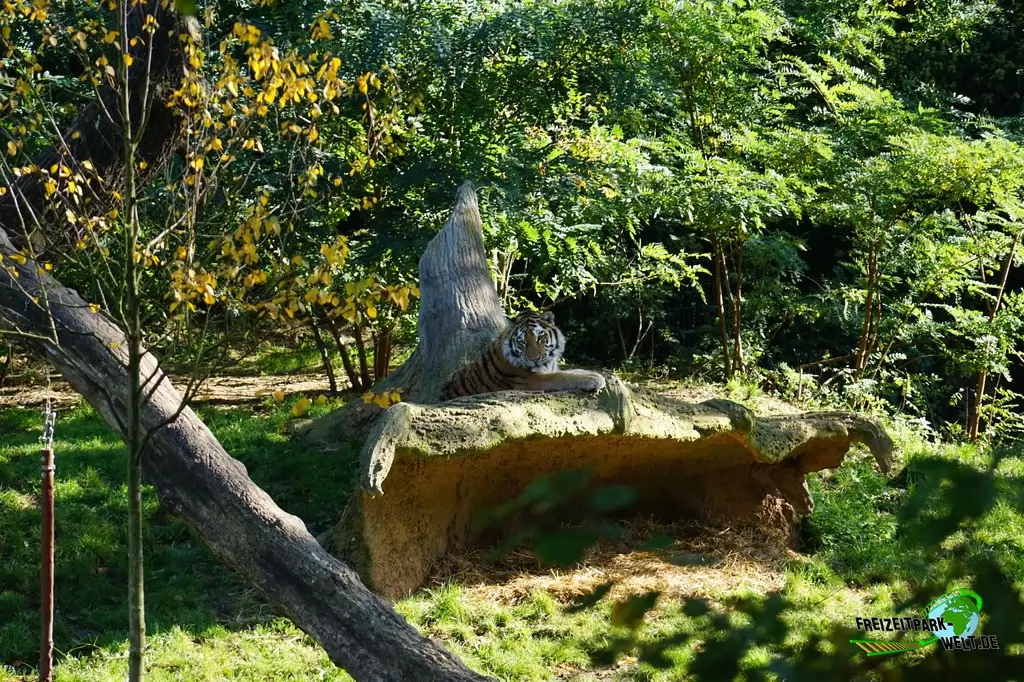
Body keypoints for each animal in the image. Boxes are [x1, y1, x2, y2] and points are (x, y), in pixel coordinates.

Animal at [440, 311, 607, 400]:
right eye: (522, 342)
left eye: (540, 337)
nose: (535, 360)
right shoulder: (531, 380)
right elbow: (563, 376)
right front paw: (594, 379)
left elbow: (571, 371)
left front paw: (592, 372)